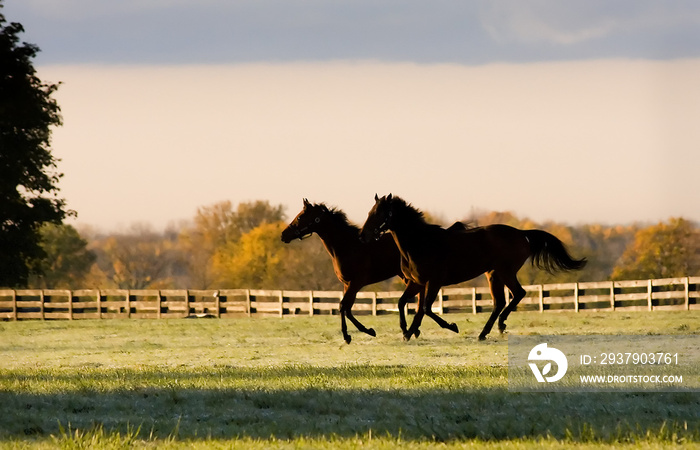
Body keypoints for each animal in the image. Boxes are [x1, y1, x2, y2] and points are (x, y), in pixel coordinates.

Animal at [282, 199, 430, 342]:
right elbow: (347, 309)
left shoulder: (356, 283)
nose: (284, 235)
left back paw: (410, 330)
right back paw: (414, 330)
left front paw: (350, 335)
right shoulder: (347, 284)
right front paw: (366, 331)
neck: (347, 246)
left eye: (300, 217)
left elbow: (343, 306)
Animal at [360, 194, 584, 342]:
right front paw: (407, 331)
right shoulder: (417, 283)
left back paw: (500, 325)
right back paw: (485, 333)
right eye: (370, 212)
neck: (421, 243)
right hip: (493, 275)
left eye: (379, 213)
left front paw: (451, 326)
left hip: (505, 272)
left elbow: (425, 308)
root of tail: (522, 234)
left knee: (518, 294)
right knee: (500, 302)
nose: (363, 236)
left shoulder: (434, 281)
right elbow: (404, 304)